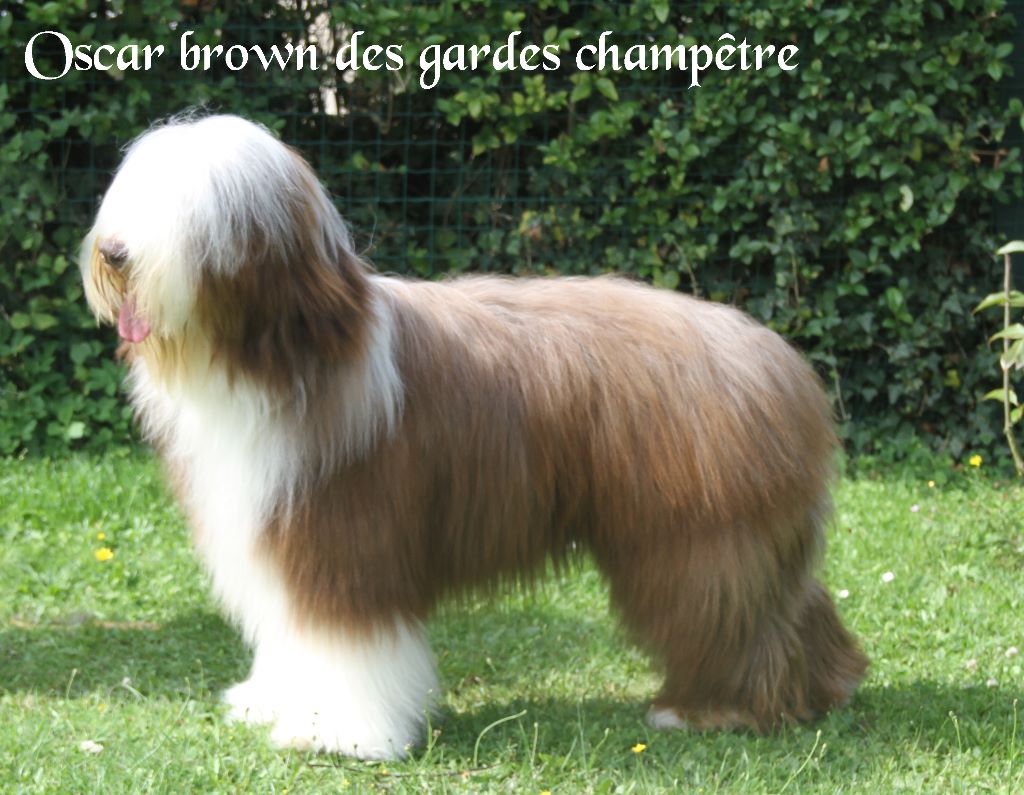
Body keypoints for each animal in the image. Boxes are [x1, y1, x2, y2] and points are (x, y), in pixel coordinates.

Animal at [79, 114, 867, 759]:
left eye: (191, 214)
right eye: (134, 196)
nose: (113, 251)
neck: (281, 357)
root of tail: (777, 360)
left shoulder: (345, 539)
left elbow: (345, 639)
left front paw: (345, 734)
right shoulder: (276, 532)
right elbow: (289, 634)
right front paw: (277, 702)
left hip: (693, 539)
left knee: (732, 614)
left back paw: (715, 708)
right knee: (793, 602)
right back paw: (824, 686)